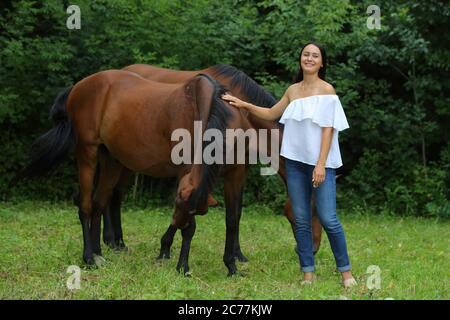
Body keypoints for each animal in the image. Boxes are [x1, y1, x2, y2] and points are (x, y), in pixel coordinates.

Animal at [20, 70, 246, 276]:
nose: (176, 222)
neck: (202, 111)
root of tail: (79, 85)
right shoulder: (185, 172)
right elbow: (191, 228)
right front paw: (182, 266)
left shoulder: (231, 176)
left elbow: (231, 219)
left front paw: (231, 265)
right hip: (87, 153)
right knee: (85, 205)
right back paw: (89, 258)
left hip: (111, 160)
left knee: (99, 203)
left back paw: (98, 253)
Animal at [101, 63, 322, 262]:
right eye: (312, 210)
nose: (314, 249)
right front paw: (165, 248)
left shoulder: (240, 170)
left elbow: (235, 214)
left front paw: (237, 255)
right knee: (112, 194)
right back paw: (112, 241)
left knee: (114, 194)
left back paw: (116, 242)